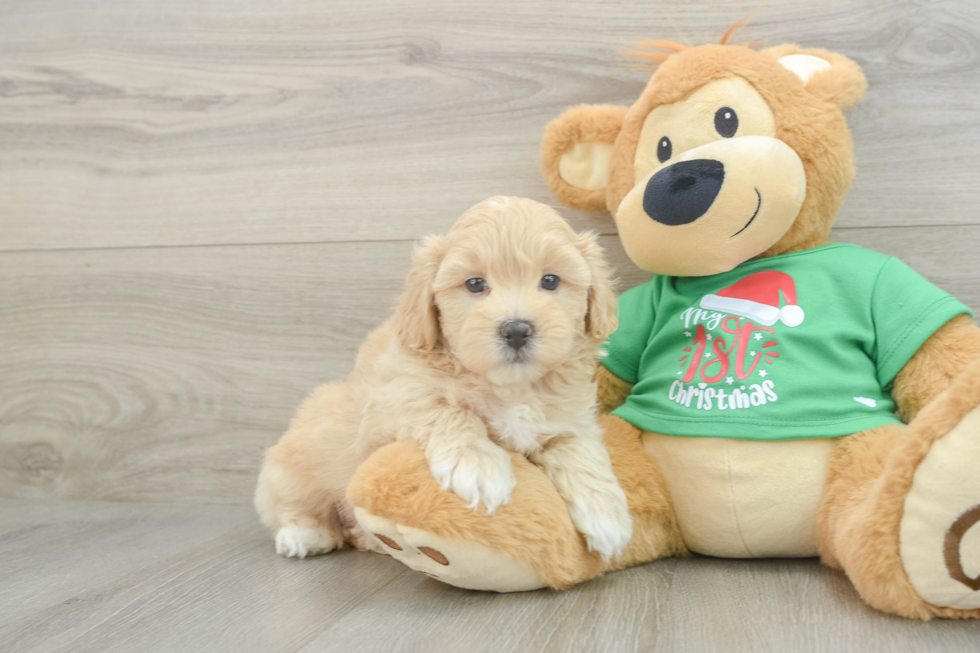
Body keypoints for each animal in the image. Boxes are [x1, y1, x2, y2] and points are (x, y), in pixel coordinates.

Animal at [255, 196, 636, 556]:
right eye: (475, 284)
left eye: (551, 280)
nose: (516, 329)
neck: (512, 387)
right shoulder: (389, 404)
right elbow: (446, 409)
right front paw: (477, 465)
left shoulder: (570, 420)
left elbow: (580, 450)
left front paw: (607, 516)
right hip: (297, 456)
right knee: (289, 503)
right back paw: (305, 534)